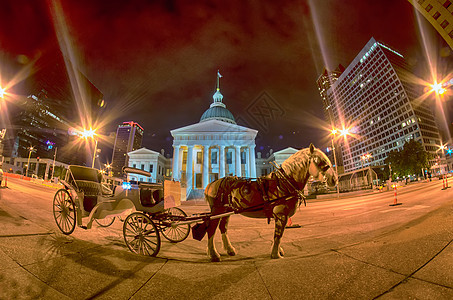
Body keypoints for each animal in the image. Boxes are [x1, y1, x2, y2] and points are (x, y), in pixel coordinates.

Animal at [201, 144, 336, 262]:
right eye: (322, 162)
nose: (334, 179)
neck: (284, 182)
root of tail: (210, 184)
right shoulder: (281, 214)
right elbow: (278, 235)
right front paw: (276, 254)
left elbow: (279, 234)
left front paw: (279, 251)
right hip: (217, 211)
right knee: (211, 229)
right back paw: (214, 255)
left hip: (226, 211)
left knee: (223, 228)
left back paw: (229, 250)